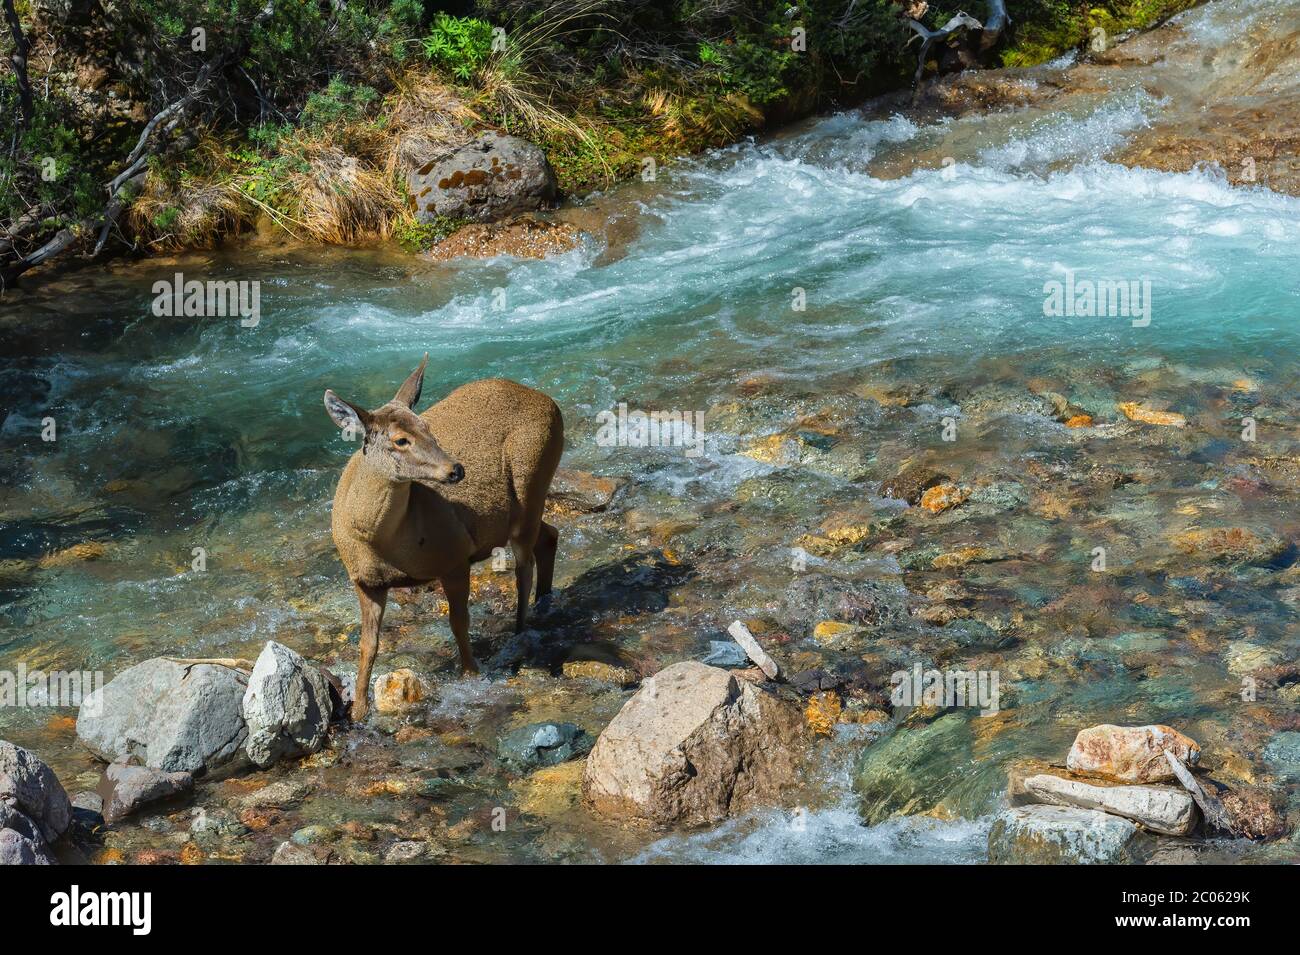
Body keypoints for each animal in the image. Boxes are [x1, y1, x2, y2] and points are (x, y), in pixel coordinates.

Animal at [323, 356, 564, 721]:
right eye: (400, 440)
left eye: (428, 427)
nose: (456, 469)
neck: (378, 541)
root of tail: (550, 402)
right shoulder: (365, 581)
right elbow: (368, 646)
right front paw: (360, 712)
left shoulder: (454, 555)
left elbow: (458, 622)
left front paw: (471, 675)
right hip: (520, 512)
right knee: (549, 536)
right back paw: (544, 601)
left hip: (531, 480)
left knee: (525, 567)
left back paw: (519, 632)